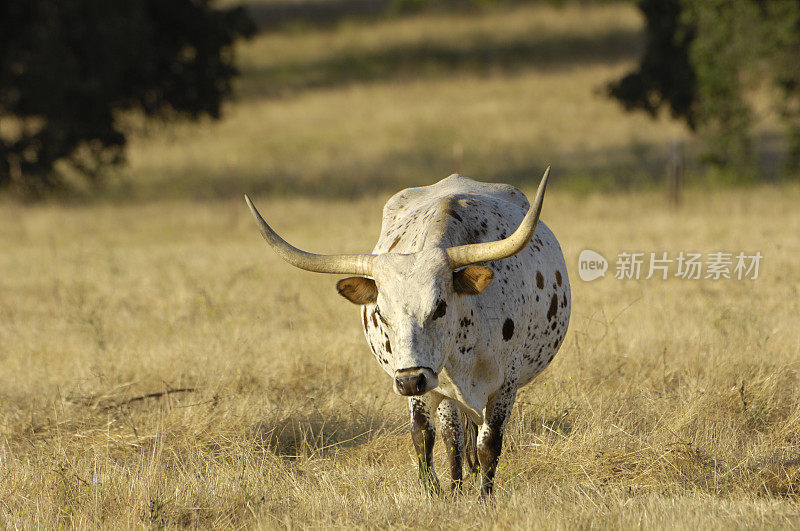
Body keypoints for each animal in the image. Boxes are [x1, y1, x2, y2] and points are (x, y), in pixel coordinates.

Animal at [245, 168, 568, 496]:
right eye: (380, 313)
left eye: (439, 307)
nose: (411, 380)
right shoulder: (424, 385)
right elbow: (423, 436)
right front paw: (437, 494)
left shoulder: (506, 384)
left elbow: (489, 445)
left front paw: (485, 498)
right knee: (453, 436)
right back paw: (455, 486)